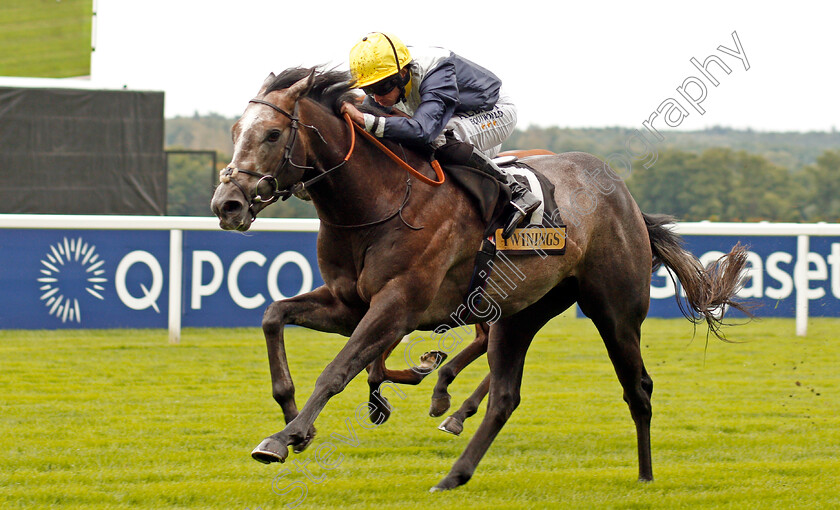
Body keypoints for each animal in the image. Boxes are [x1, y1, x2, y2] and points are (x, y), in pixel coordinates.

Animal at [210, 67, 748, 490]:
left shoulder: (397, 305)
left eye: (272, 134)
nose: (227, 204)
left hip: (614, 311)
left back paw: (645, 475)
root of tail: (627, 199)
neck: (382, 201)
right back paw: (454, 469)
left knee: (638, 388)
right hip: (522, 313)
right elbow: (274, 316)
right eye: (236, 130)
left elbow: (338, 369)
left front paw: (286, 437)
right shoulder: (350, 305)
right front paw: (294, 418)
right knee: (505, 395)